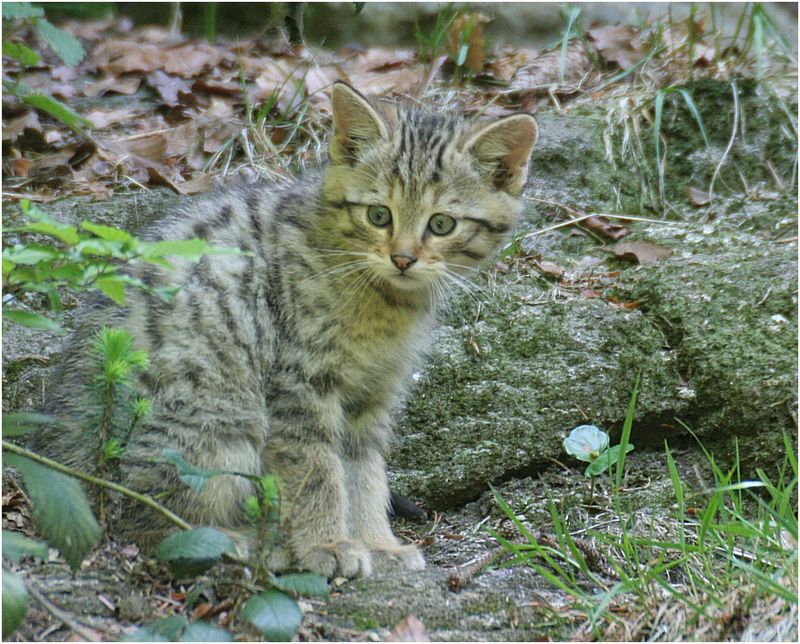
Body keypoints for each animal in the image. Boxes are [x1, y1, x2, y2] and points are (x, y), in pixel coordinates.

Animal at [36, 82, 536, 580]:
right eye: (379, 215)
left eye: (441, 224)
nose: (402, 258)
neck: (385, 302)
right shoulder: (300, 380)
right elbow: (316, 468)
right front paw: (326, 545)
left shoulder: (372, 394)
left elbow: (365, 472)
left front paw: (377, 543)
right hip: (219, 424)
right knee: (137, 521)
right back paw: (246, 544)